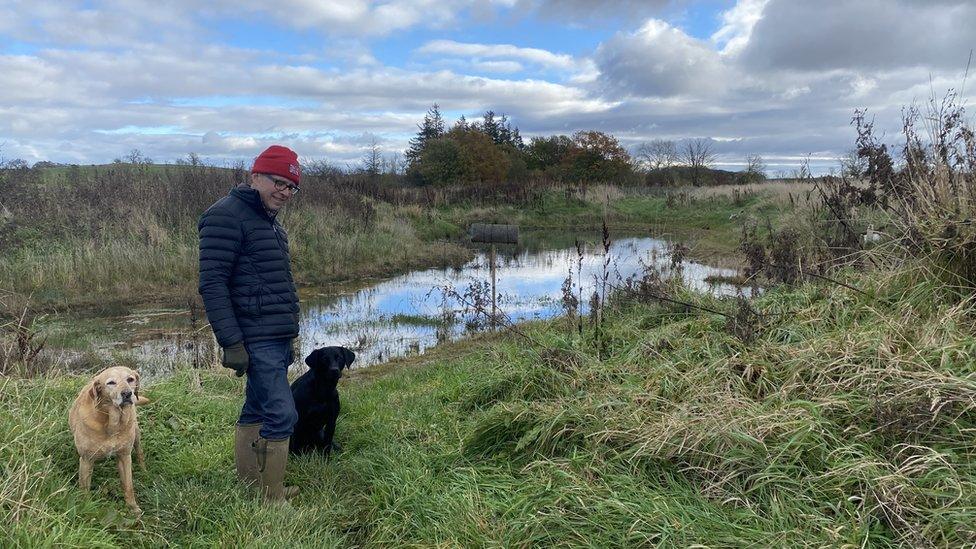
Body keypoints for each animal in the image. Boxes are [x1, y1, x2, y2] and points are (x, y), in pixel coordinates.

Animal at [68, 366, 149, 516]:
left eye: (130, 379)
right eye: (111, 383)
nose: (127, 394)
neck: (112, 423)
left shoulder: (124, 456)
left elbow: (128, 485)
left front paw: (133, 508)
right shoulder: (86, 460)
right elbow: (84, 489)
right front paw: (85, 507)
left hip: (136, 434)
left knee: (140, 453)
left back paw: (144, 472)